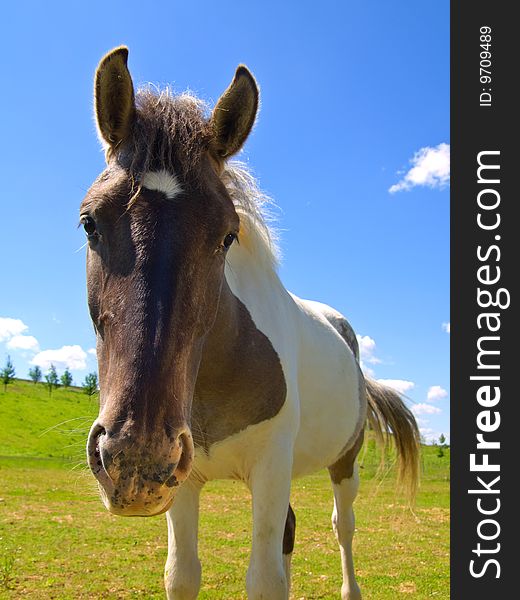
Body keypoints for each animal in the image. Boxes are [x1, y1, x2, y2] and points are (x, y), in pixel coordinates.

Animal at [82, 48, 422, 600]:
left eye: (227, 235)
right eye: (89, 222)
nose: (135, 455)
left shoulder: (268, 469)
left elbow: (263, 579)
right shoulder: (183, 480)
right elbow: (183, 575)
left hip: (343, 464)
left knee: (342, 527)